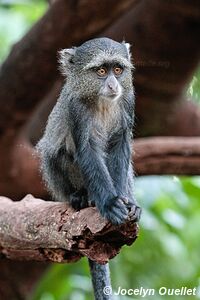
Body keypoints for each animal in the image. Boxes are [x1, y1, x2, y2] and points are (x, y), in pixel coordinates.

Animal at [36, 37, 141, 300]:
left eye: (118, 70)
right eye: (101, 71)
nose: (113, 85)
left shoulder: (128, 102)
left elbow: (119, 147)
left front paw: (125, 202)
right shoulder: (76, 109)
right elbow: (88, 151)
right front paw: (110, 204)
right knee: (57, 153)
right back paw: (83, 197)